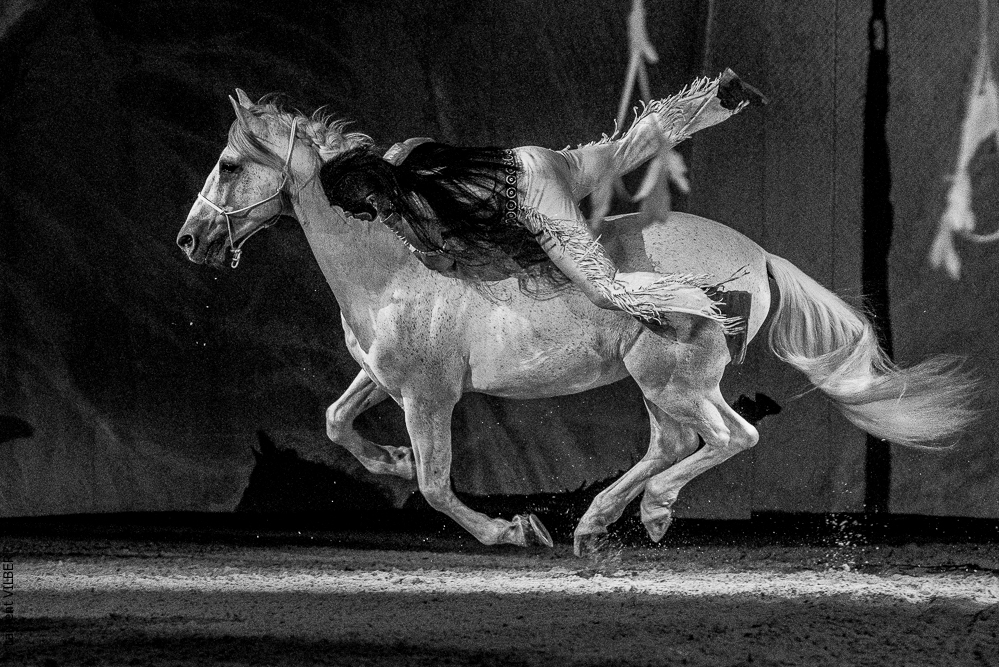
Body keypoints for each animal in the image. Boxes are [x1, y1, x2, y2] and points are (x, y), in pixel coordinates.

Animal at [177, 92, 978, 556]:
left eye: (227, 164)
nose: (190, 240)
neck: (394, 264)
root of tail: (757, 257)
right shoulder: (381, 376)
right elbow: (337, 421)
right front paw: (391, 462)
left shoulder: (427, 395)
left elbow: (436, 485)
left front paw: (511, 528)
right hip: (660, 385)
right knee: (673, 443)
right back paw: (599, 523)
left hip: (676, 379)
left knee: (727, 437)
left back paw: (644, 513)